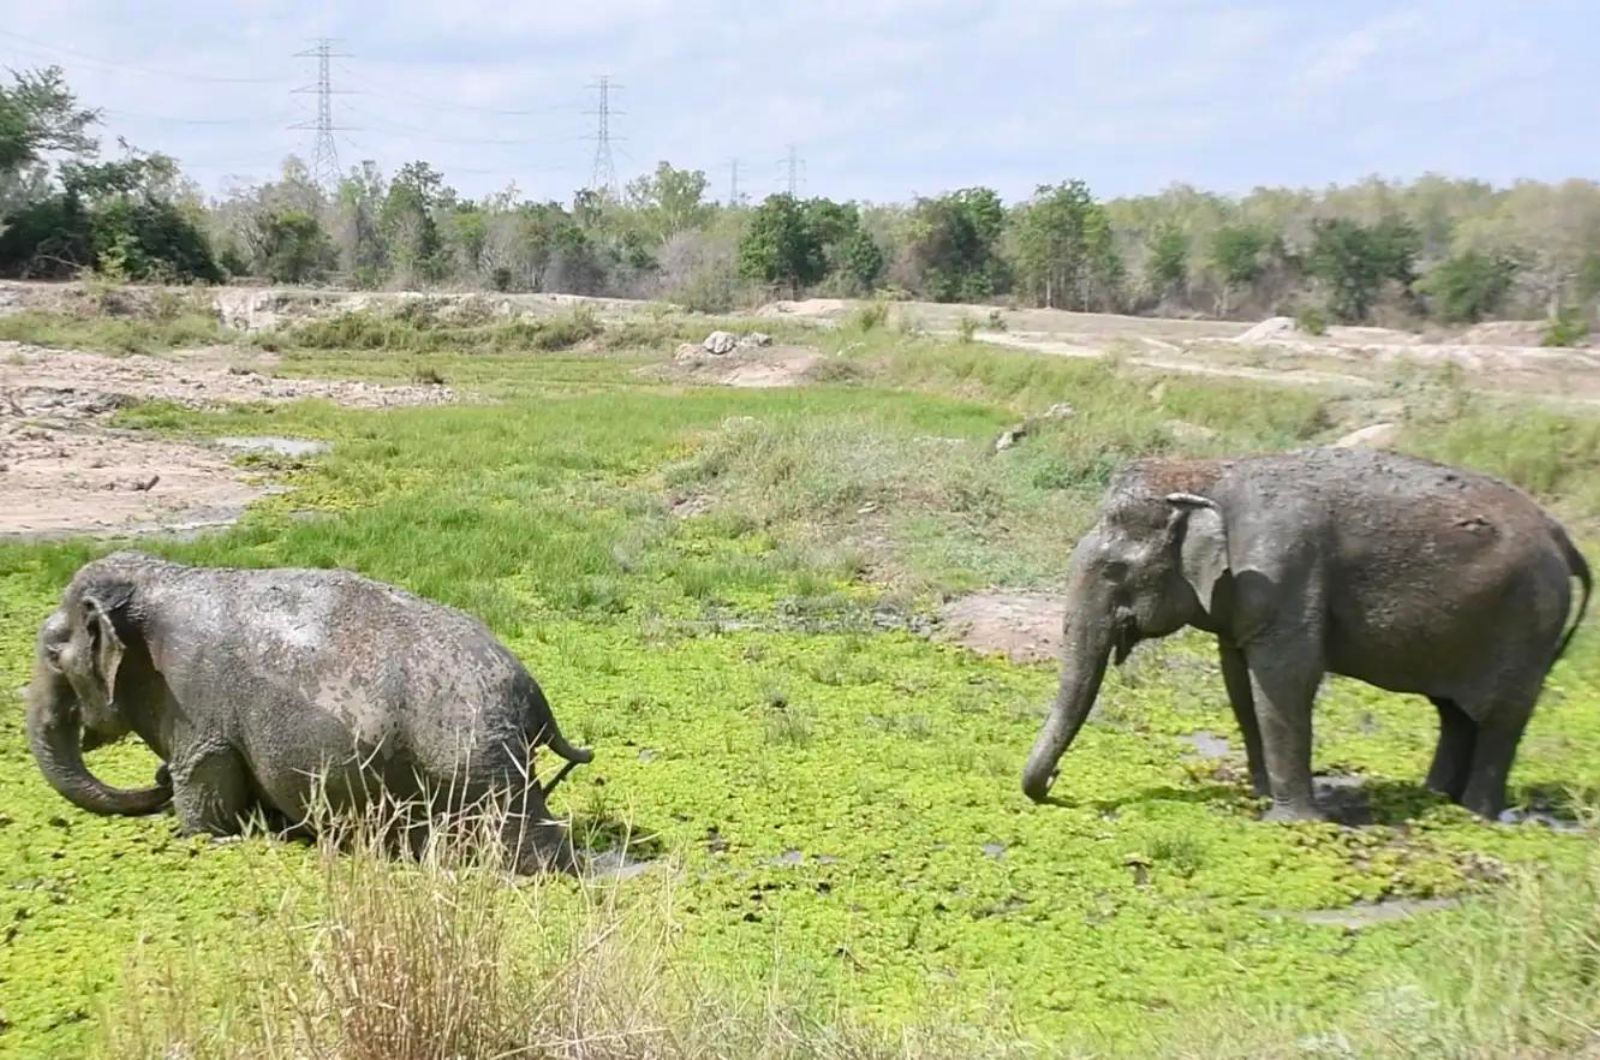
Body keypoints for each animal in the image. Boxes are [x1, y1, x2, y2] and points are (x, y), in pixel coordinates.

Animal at [23, 550, 601, 877]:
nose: (156, 778)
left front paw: (202, 833)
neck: (155, 582)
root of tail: (533, 696)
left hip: (479, 761)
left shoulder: (194, 705)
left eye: (52, 652)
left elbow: (204, 796)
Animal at [1024, 445, 1587, 819]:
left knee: (1500, 719)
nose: (1054, 781)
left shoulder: (1285, 572)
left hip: (1527, 625)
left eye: (1114, 570)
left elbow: (1283, 680)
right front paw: (1260, 797)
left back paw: (1475, 813)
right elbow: (1238, 682)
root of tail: (1560, 535)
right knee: (1455, 714)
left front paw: (1291, 819)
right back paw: (1434, 799)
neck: (1212, 471)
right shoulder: (1243, 599)